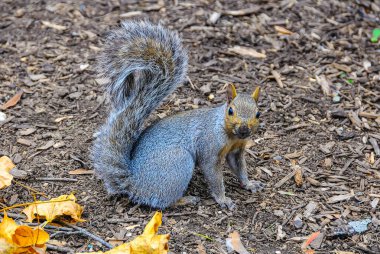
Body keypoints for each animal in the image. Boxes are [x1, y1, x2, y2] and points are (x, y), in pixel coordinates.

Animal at [92, 20, 264, 209]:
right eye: (230, 111)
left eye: (258, 114)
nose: (244, 129)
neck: (230, 134)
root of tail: (135, 184)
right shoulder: (209, 148)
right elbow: (213, 175)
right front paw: (223, 199)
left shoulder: (236, 150)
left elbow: (239, 168)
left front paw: (249, 184)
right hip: (179, 162)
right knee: (162, 201)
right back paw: (186, 199)